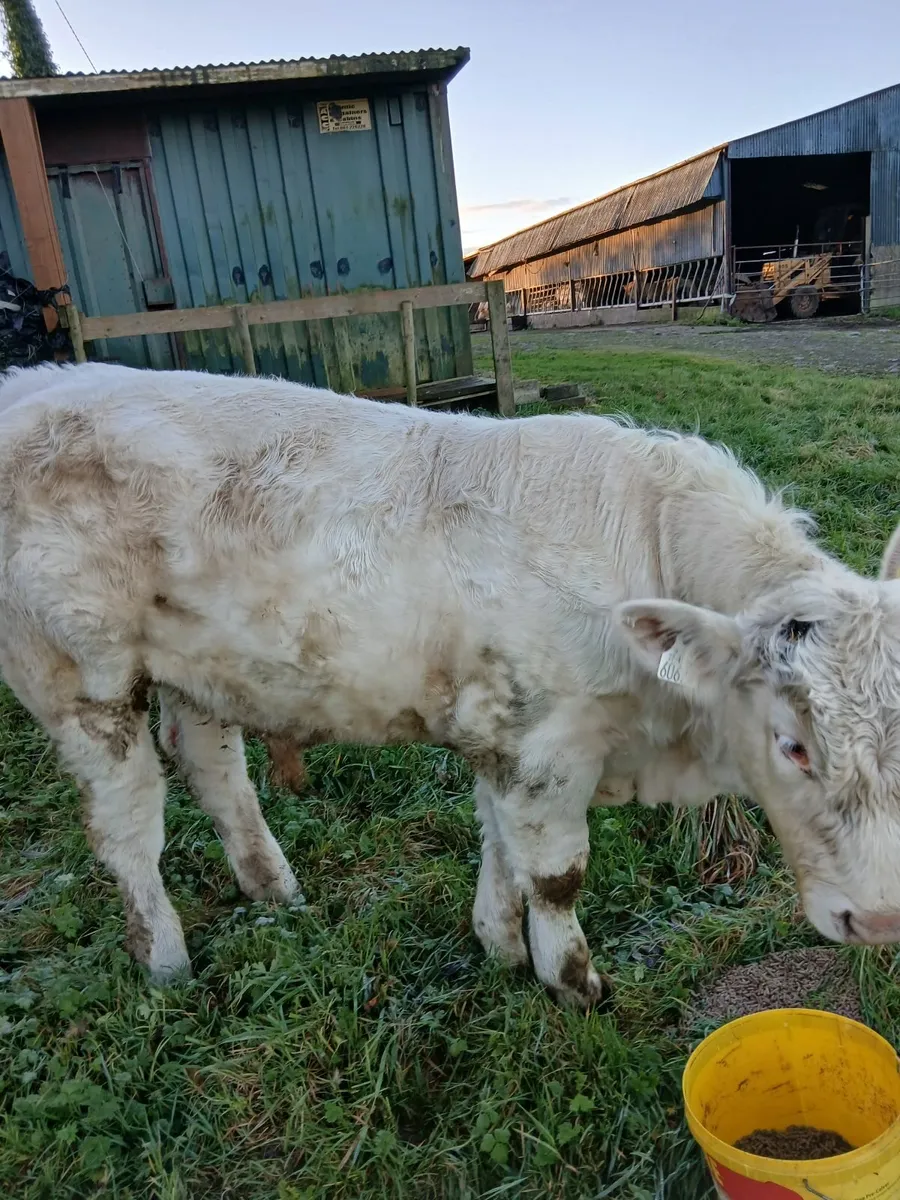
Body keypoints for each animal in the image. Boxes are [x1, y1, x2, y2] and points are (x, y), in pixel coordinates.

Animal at [2, 360, 900, 1009]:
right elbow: (555, 873)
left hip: (199, 669)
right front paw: (574, 982)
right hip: (82, 680)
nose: (881, 918)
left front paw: (497, 944)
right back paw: (166, 961)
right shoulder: (543, 742)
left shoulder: (501, 734)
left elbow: (500, 844)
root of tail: (33, 382)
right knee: (127, 831)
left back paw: (274, 890)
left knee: (214, 769)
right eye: (792, 746)